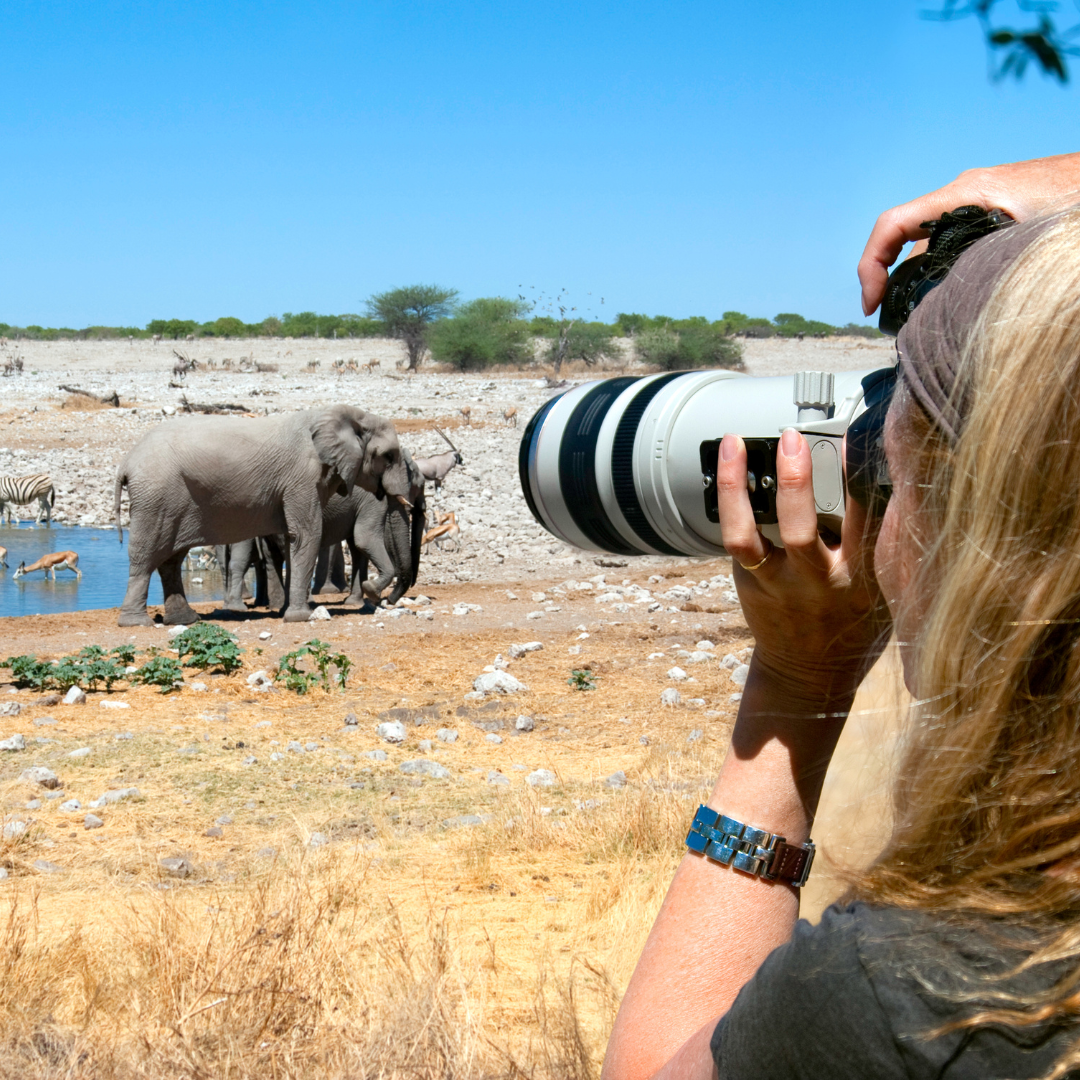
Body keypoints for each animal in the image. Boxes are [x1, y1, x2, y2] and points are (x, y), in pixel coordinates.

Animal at [113, 405, 411, 626]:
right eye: (388, 456)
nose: (380, 596)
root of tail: (125, 463)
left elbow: (294, 539)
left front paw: (289, 612)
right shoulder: (302, 478)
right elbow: (308, 535)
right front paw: (300, 617)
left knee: (172, 559)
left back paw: (185, 620)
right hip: (156, 496)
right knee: (146, 554)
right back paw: (137, 622)